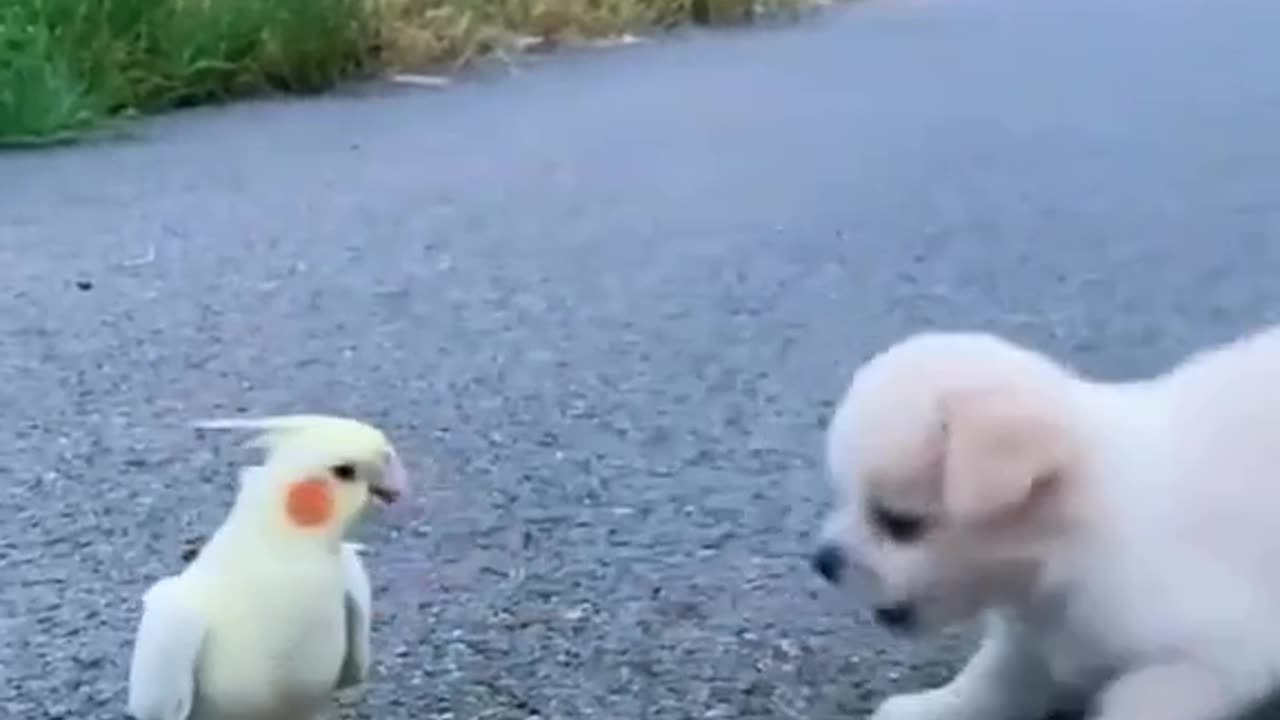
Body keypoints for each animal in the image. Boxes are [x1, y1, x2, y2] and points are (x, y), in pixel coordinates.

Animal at [814, 326, 1280, 717]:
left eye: (899, 522)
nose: (823, 560)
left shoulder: (1209, 657)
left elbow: (1134, 702)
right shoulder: (1029, 638)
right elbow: (993, 680)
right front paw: (935, 707)